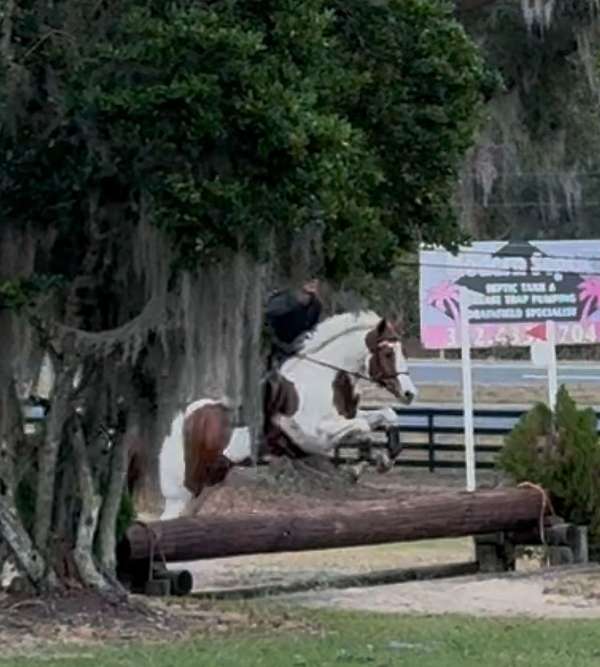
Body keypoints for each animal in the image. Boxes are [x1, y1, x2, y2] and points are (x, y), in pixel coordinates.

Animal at [128, 310, 414, 520]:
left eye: (401, 351)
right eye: (388, 353)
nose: (409, 394)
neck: (324, 378)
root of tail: (182, 417)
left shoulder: (342, 421)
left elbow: (385, 416)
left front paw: (383, 458)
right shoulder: (315, 435)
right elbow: (362, 428)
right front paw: (363, 464)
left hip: (209, 483)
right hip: (183, 489)